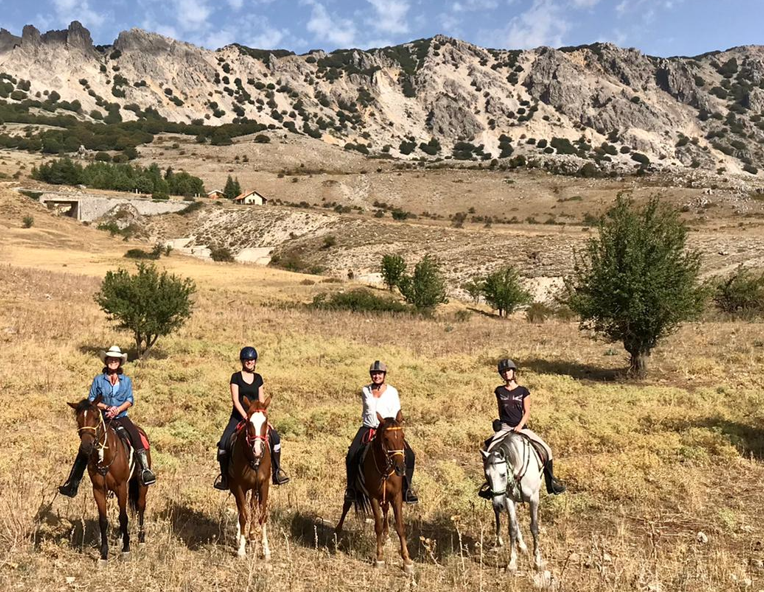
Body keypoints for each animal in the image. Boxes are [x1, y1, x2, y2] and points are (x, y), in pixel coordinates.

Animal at [67, 396, 149, 560]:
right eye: (78, 419)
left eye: (96, 417)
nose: (86, 446)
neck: (105, 457)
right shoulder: (98, 490)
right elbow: (103, 520)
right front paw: (104, 554)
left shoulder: (122, 487)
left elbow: (123, 517)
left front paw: (126, 549)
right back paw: (121, 537)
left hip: (141, 484)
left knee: (140, 506)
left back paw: (141, 539)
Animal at [227, 396, 272, 556]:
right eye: (248, 422)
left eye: (265, 421)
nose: (257, 450)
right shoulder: (239, 486)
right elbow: (243, 515)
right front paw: (241, 548)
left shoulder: (264, 484)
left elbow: (261, 515)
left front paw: (266, 550)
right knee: (242, 508)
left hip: (254, 487)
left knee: (252, 505)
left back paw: (252, 534)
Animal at [334, 412, 412, 572]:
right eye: (386, 438)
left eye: (402, 436)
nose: (400, 468)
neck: (385, 469)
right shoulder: (373, 497)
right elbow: (378, 526)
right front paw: (380, 558)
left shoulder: (396, 496)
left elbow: (400, 526)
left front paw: (407, 560)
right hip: (352, 489)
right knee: (346, 506)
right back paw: (337, 532)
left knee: (386, 510)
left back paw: (387, 536)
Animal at [484, 432, 544, 572]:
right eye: (487, 476)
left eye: (502, 474)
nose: (497, 505)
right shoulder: (508, 499)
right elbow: (512, 528)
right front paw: (512, 562)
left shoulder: (534, 499)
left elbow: (534, 527)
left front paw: (537, 561)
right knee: (513, 522)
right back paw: (518, 545)